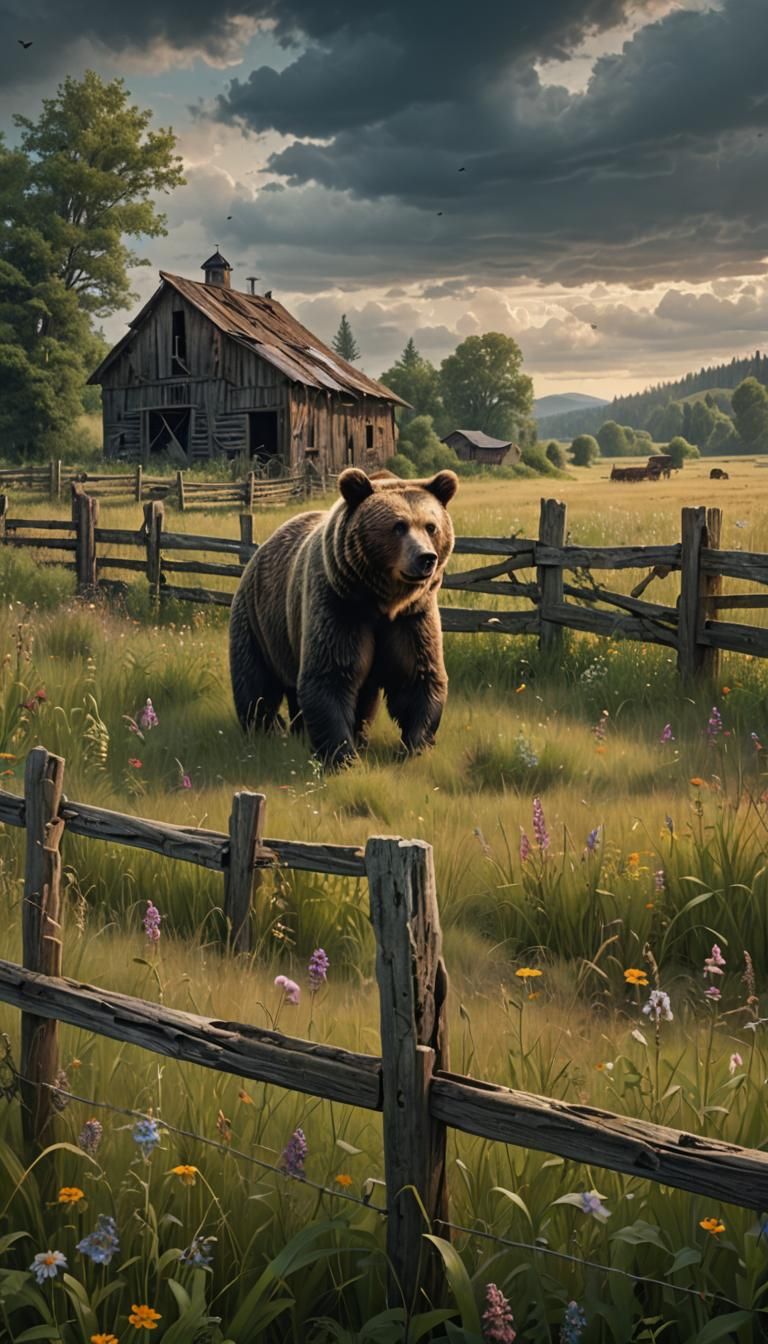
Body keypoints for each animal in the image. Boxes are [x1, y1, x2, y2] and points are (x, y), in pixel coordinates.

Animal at [229, 466, 458, 767]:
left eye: (431, 526)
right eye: (398, 526)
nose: (426, 558)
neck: (381, 602)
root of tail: (261, 549)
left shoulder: (412, 618)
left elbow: (417, 675)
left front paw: (414, 746)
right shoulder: (339, 607)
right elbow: (330, 676)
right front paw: (343, 756)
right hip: (259, 619)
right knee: (255, 680)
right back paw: (264, 729)